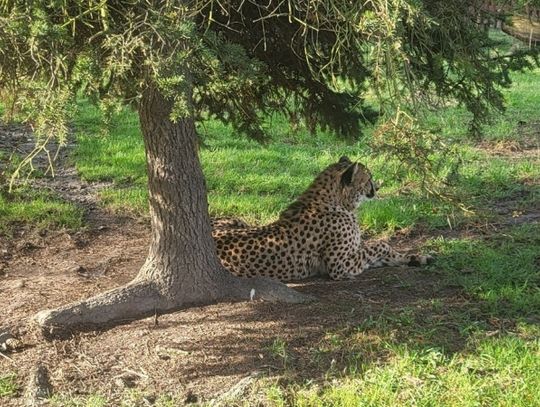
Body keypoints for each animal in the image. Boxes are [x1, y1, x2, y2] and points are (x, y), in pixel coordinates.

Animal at [211, 156, 430, 280]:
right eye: (368, 178)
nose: (376, 188)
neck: (339, 204)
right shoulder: (340, 266)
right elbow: (379, 245)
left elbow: (384, 252)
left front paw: (416, 257)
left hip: (237, 220)